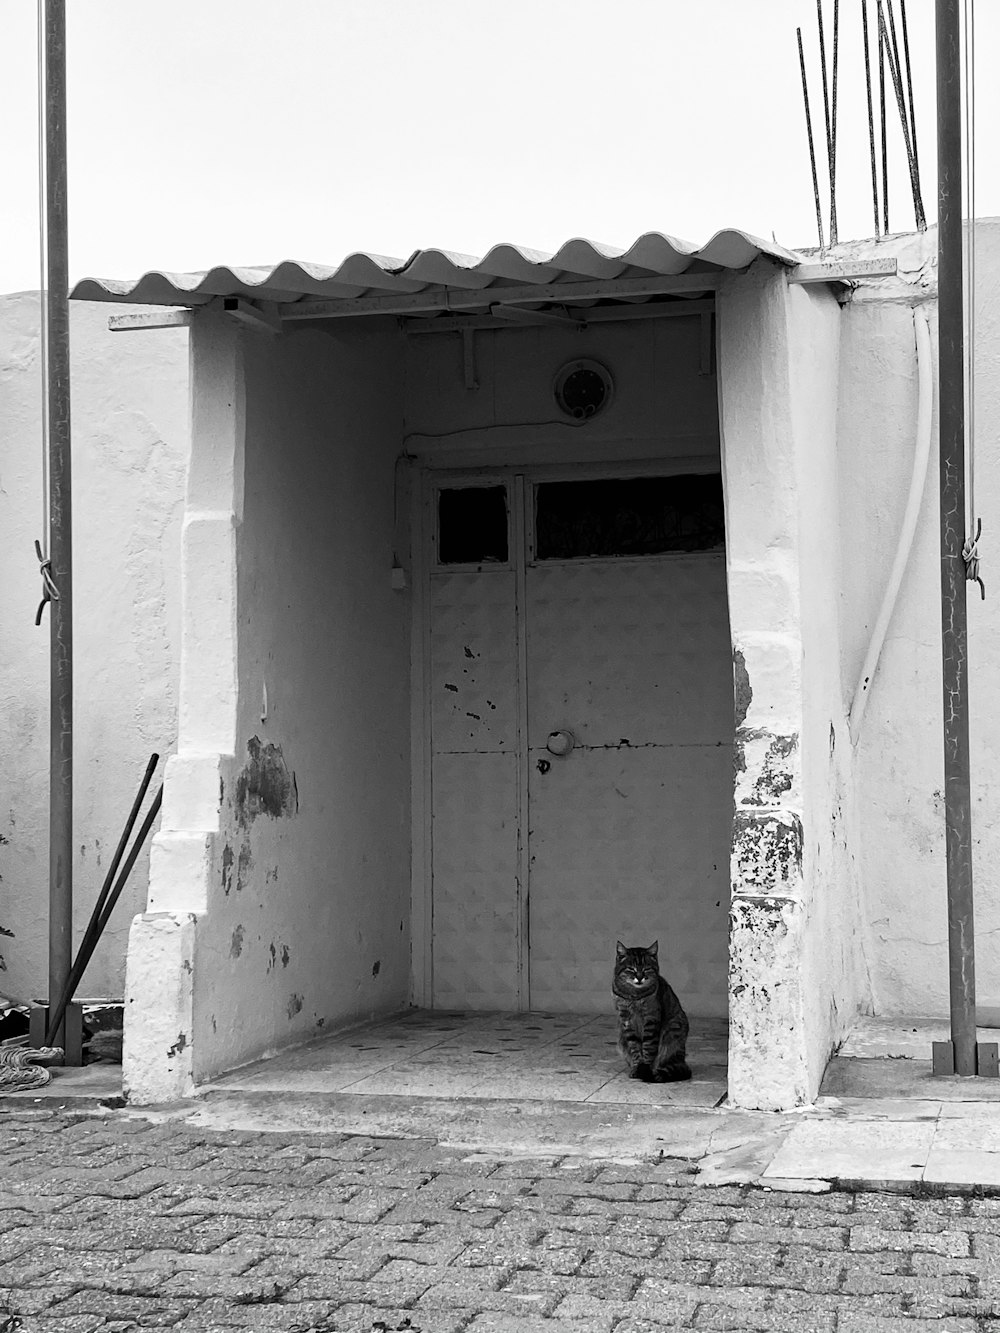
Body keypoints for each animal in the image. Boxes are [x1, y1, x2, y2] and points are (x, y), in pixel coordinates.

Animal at [616, 938, 693, 1082]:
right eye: (631, 969)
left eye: (646, 969)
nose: (639, 977)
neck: (635, 996)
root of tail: (682, 1060)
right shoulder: (626, 1021)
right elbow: (635, 1048)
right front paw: (637, 1068)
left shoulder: (651, 1019)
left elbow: (648, 1047)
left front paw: (645, 1071)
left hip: (673, 1029)